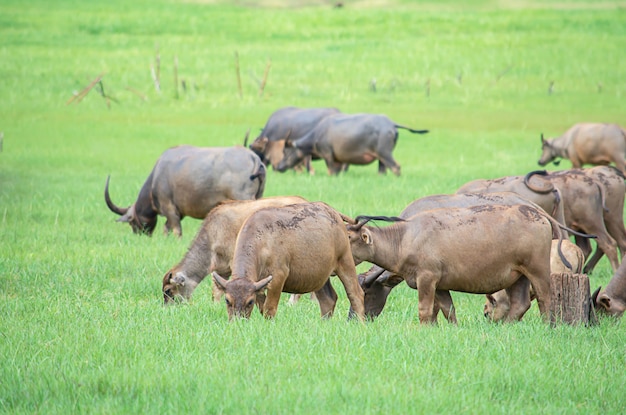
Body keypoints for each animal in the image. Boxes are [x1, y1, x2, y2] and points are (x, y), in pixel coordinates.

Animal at [104, 145, 264, 237]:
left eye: (132, 223)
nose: (140, 235)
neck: (155, 179)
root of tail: (254, 157)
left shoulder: (169, 207)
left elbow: (176, 229)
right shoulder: (177, 212)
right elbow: (166, 227)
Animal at [211, 203, 364, 320]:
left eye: (250, 302)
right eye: (227, 300)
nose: (238, 321)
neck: (262, 242)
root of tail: (331, 210)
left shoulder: (278, 277)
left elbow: (269, 309)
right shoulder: (259, 285)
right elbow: (262, 308)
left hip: (345, 261)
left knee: (356, 294)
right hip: (320, 275)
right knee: (328, 299)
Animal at [276, 114, 426, 177]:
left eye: (286, 152)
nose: (279, 167)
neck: (317, 134)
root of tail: (391, 124)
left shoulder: (328, 155)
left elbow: (331, 171)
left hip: (385, 153)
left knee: (396, 167)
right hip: (381, 157)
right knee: (382, 170)